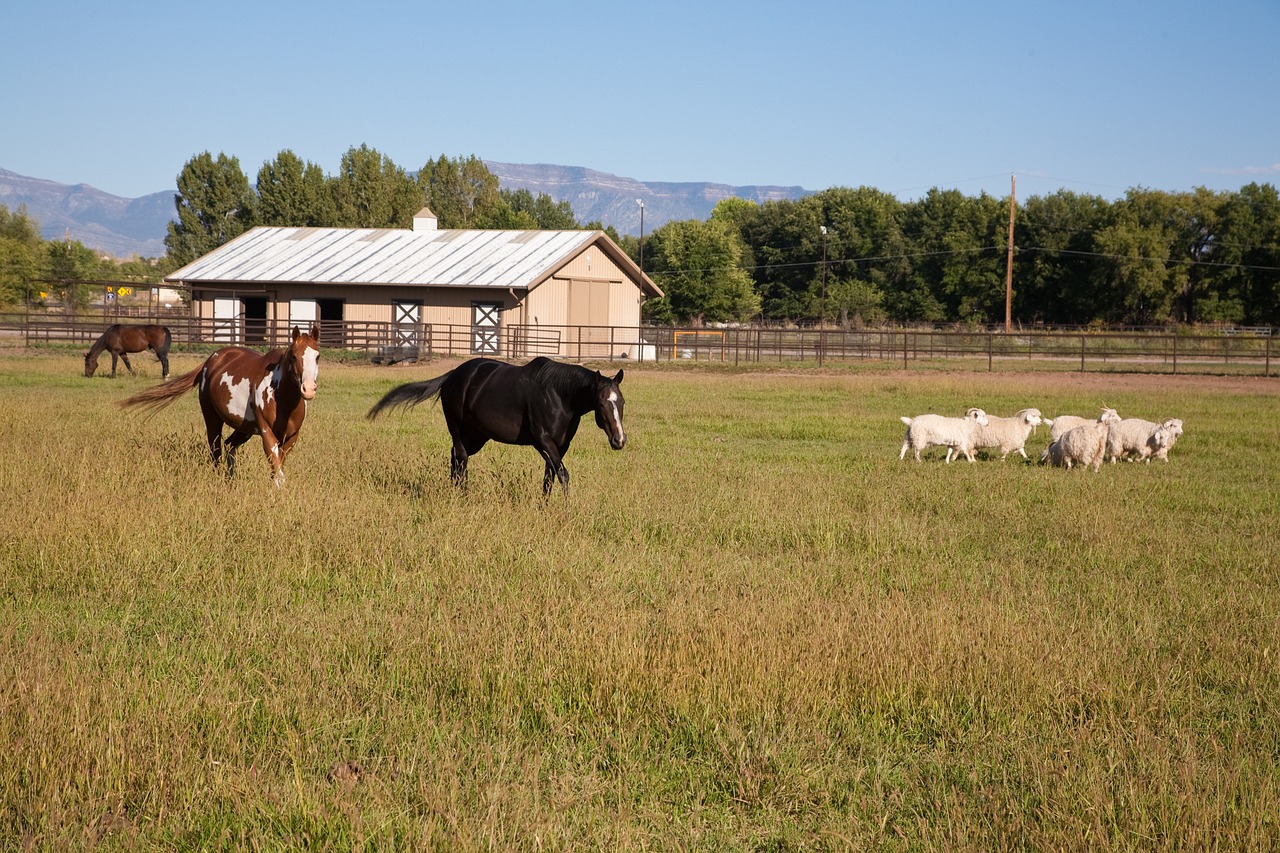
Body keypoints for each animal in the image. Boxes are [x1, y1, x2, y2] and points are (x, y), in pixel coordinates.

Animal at [120, 325, 320, 484]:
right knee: (216, 451)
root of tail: (210, 361)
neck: (282, 399)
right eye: (294, 356)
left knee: (229, 446)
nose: (308, 389)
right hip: (212, 419)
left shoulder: (291, 437)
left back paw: (230, 481)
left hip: (244, 428)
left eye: (317, 357)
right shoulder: (267, 433)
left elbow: (278, 467)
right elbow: (277, 468)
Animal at [366, 353, 624, 499]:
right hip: (458, 430)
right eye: (601, 404)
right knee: (461, 460)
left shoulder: (560, 445)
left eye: (621, 402)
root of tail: (452, 376)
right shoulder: (543, 441)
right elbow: (563, 475)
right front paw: (566, 510)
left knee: (454, 459)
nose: (619, 440)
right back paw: (464, 498)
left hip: (477, 436)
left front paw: (545, 507)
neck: (559, 395)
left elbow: (550, 477)